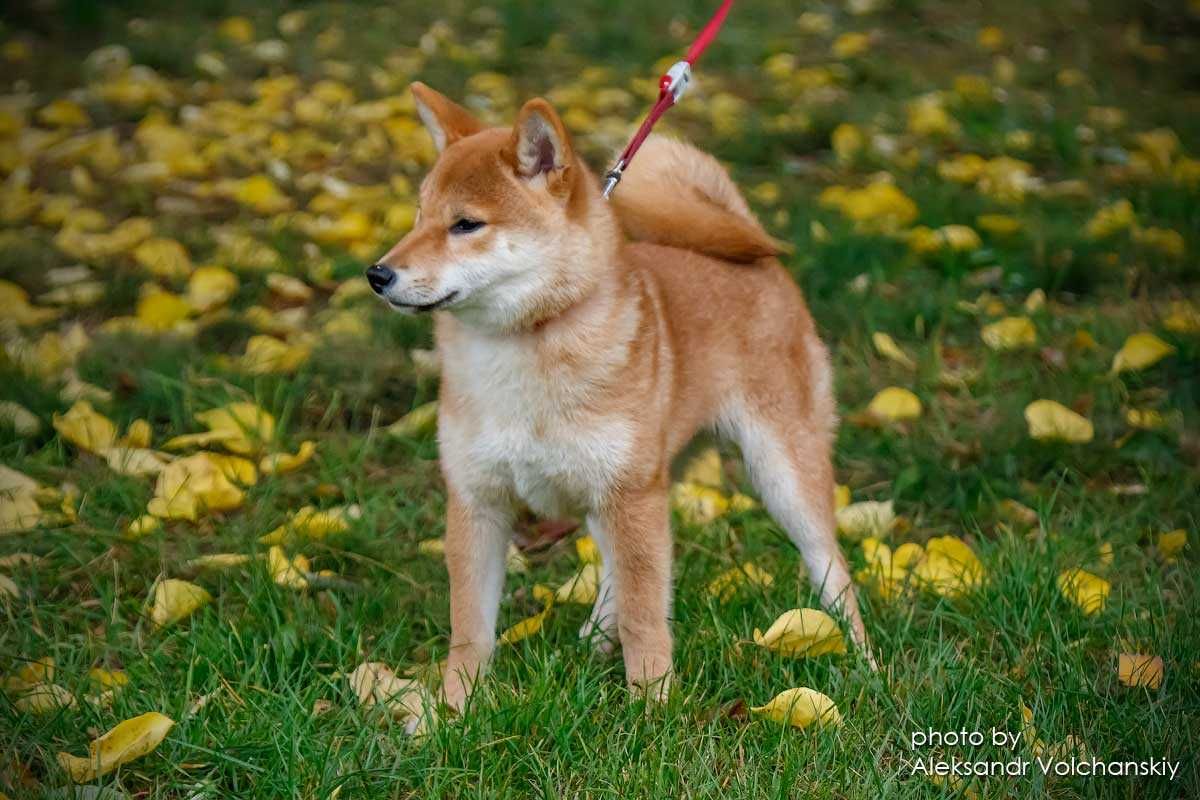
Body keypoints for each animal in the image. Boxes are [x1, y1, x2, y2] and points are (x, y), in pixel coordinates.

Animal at [367, 79, 873, 705]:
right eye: (418, 217)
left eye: (466, 225)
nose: (378, 274)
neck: (527, 350)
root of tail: (755, 252)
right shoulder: (479, 500)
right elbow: (470, 632)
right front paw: (454, 711)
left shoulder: (628, 495)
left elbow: (646, 619)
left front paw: (653, 708)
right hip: (626, 488)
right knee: (618, 576)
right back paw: (591, 640)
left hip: (776, 474)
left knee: (830, 567)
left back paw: (866, 665)